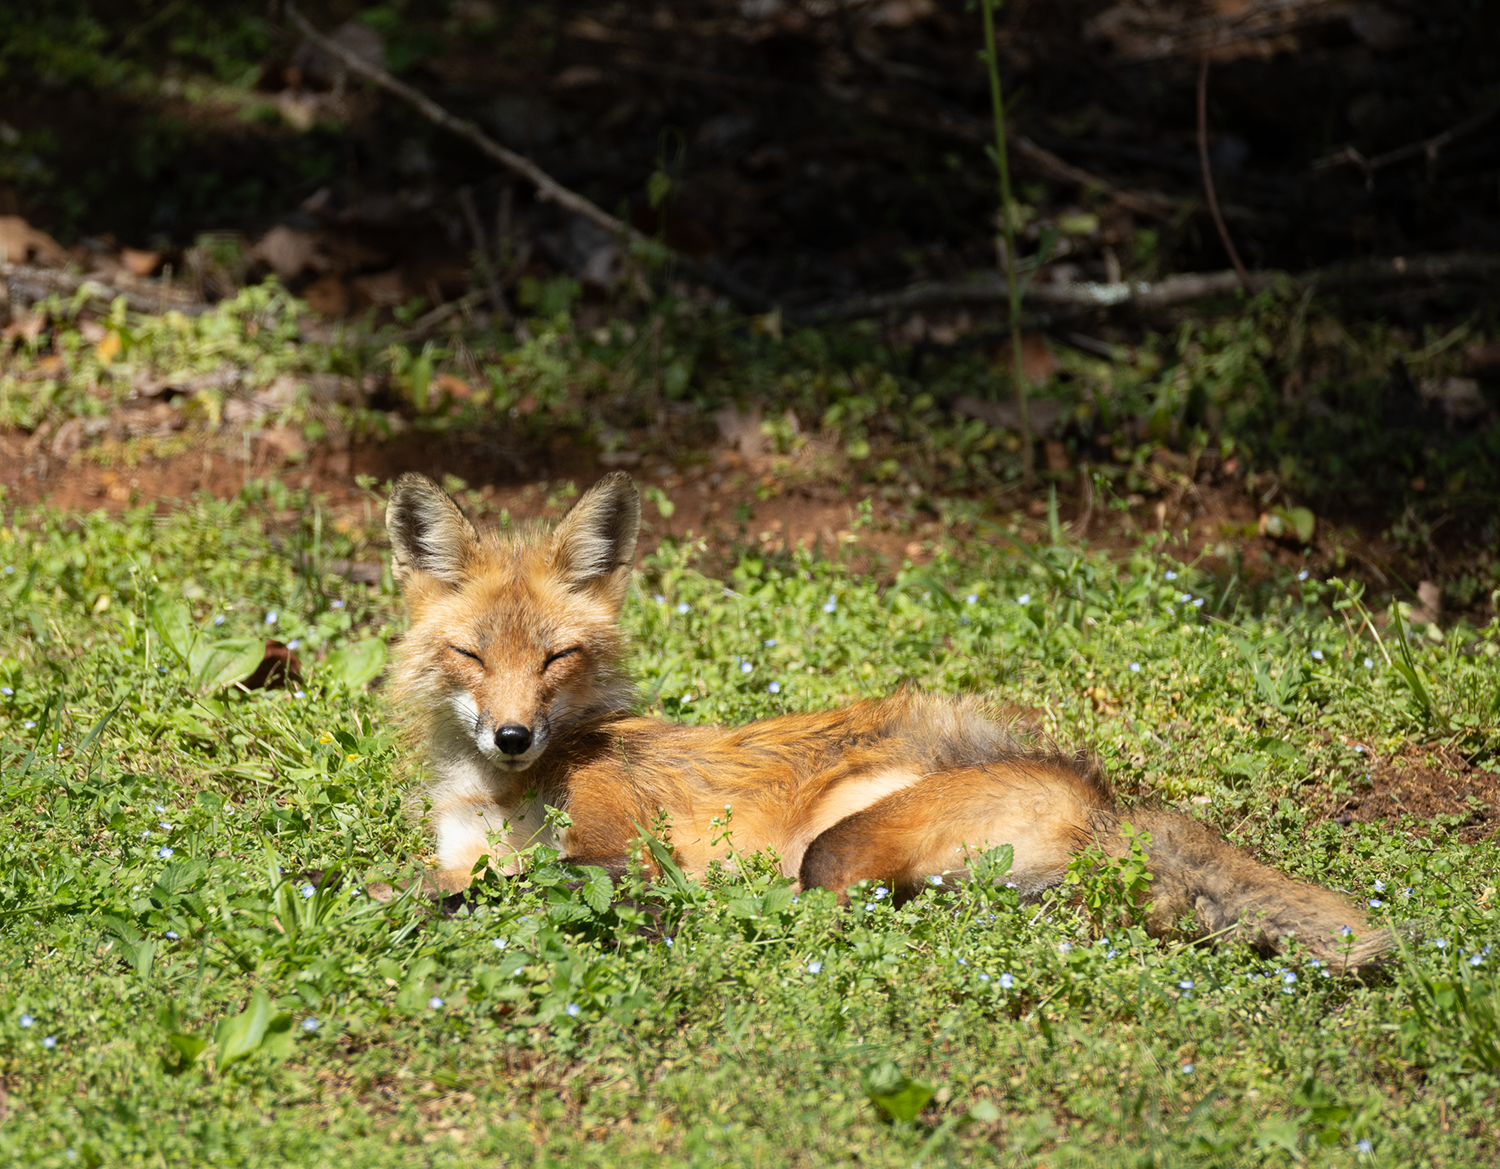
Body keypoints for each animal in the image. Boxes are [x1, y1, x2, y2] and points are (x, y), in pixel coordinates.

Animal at [386, 470, 1389, 972]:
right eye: (473, 655)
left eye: (555, 659)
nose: (513, 736)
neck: (501, 800)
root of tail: (1097, 792)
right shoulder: (461, 851)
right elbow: (434, 882)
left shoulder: (620, 854)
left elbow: (492, 893)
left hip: (833, 852)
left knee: (828, 909)